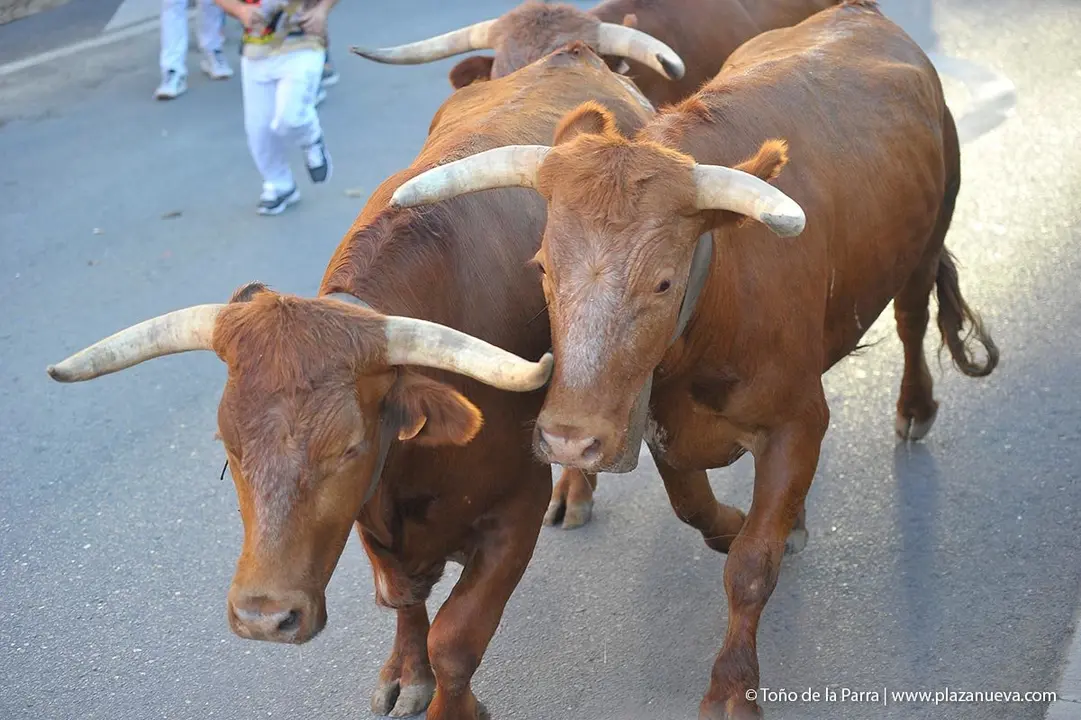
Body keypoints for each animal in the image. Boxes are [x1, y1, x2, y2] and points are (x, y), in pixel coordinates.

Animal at [46, 44, 652, 720]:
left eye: (349, 449)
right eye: (228, 449)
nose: (264, 617)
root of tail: (573, 54)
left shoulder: (513, 511)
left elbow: (457, 638)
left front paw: (455, 703)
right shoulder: (376, 526)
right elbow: (405, 601)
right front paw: (406, 673)